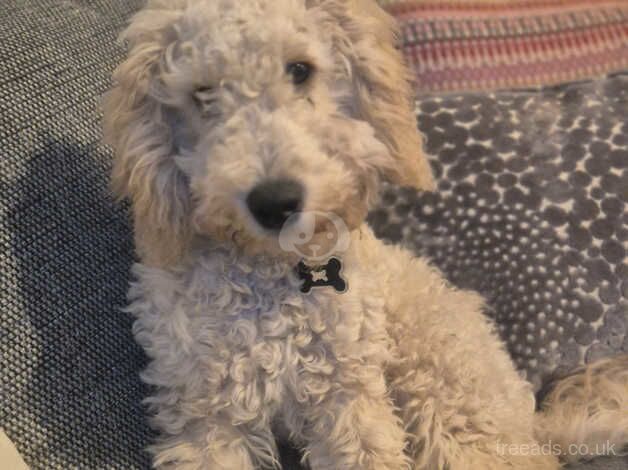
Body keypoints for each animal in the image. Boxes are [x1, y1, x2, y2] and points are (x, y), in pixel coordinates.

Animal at [105, 0, 628, 466]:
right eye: (202, 93)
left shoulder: (348, 400)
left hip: (442, 399)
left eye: (300, 69)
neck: (270, 281)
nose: (276, 201)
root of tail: (532, 424)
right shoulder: (207, 417)